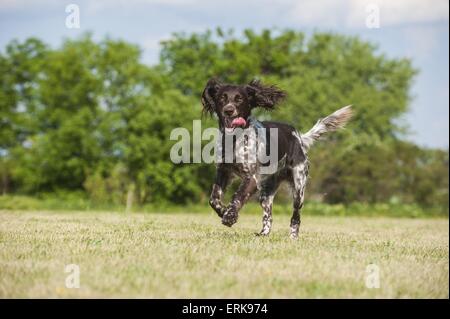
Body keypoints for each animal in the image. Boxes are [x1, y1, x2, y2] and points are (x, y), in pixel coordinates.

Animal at [202, 78, 354, 240]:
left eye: (239, 99)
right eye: (222, 98)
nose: (229, 110)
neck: (234, 139)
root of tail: (299, 137)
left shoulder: (251, 178)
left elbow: (238, 196)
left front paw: (230, 216)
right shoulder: (223, 171)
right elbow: (213, 199)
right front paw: (223, 211)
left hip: (298, 187)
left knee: (296, 216)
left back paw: (293, 237)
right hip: (266, 193)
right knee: (268, 216)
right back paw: (263, 234)